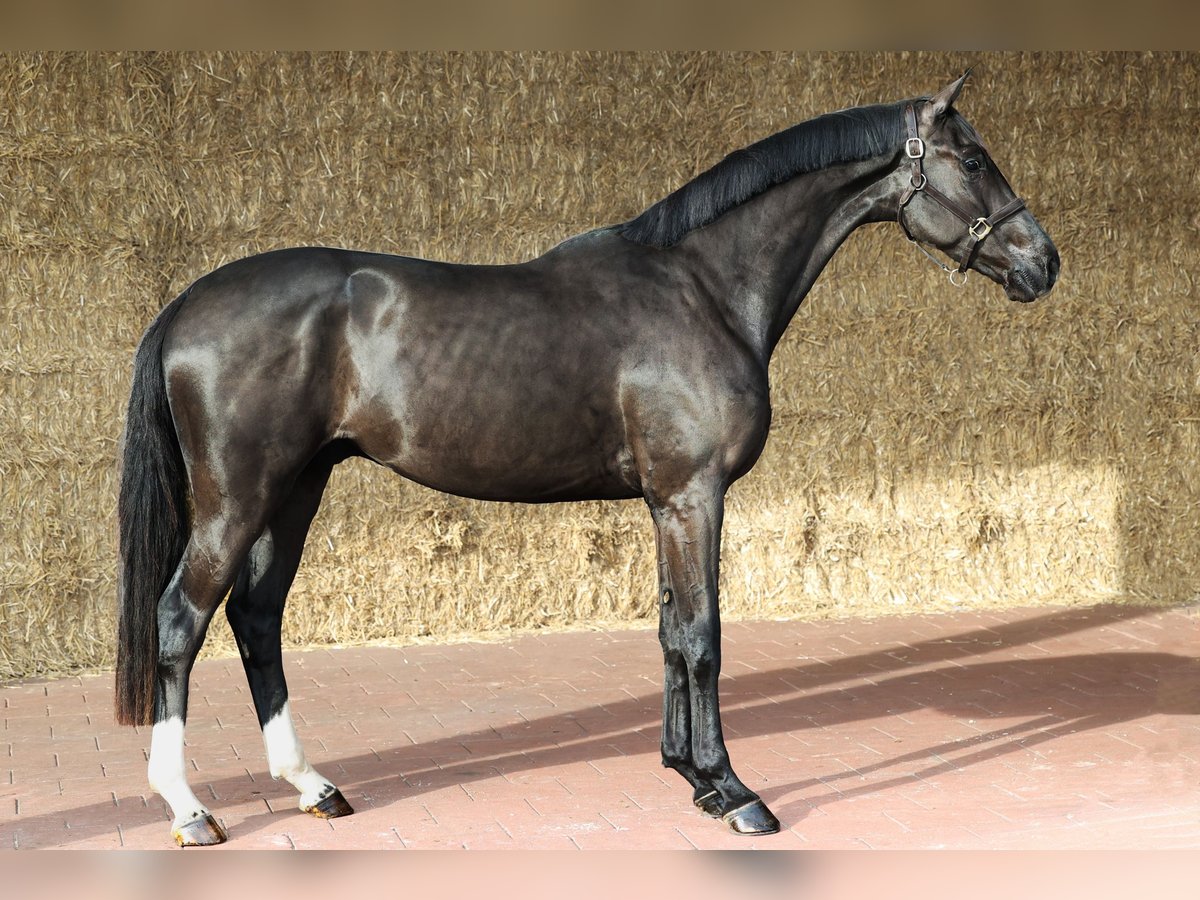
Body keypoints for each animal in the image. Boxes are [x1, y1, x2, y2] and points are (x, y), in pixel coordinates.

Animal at [115, 71, 1059, 846]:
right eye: (972, 158)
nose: (1043, 263)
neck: (701, 289)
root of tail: (187, 304)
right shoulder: (692, 495)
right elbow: (703, 637)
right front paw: (733, 792)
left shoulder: (666, 502)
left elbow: (671, 631)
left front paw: (691, 778)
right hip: (237, 498)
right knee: (181, 621)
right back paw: (190, 810)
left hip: (296, 489)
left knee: (256, 618)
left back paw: (313, 787)